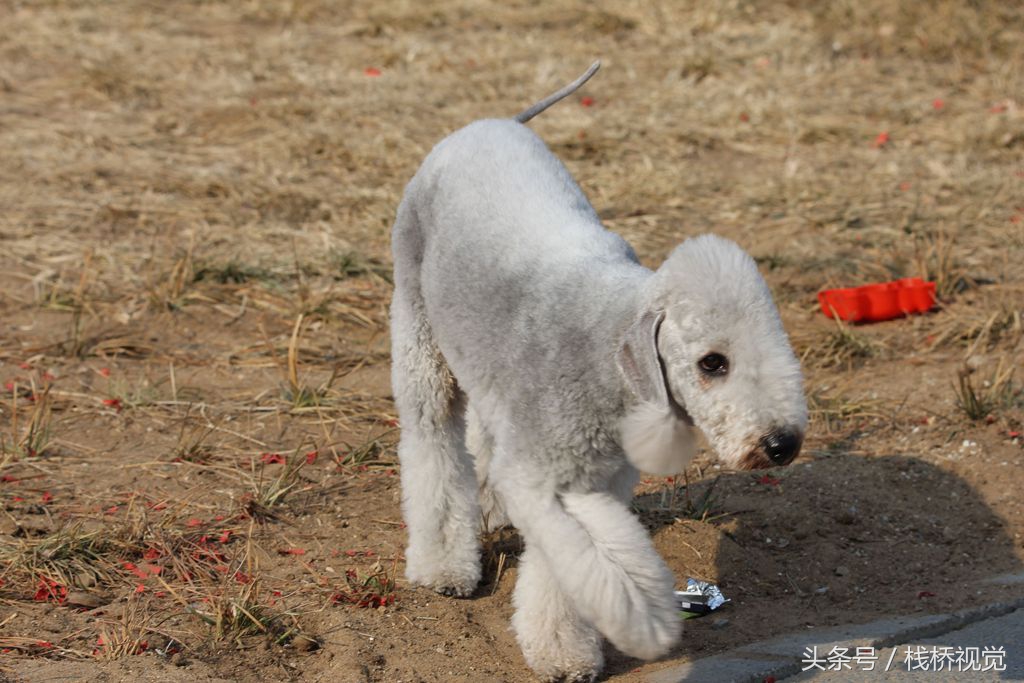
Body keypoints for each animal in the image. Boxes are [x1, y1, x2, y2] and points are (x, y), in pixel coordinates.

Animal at [389, 61, 806, 679]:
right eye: (712, 363)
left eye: (777, 348)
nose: (782, 444)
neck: (607, 352)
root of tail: (488, 124)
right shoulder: (545, 473)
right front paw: (574, 650)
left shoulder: (600, 477)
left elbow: (566, 572)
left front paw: (566, 649)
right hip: (419, 326)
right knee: (432, 439)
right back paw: (442, 566)